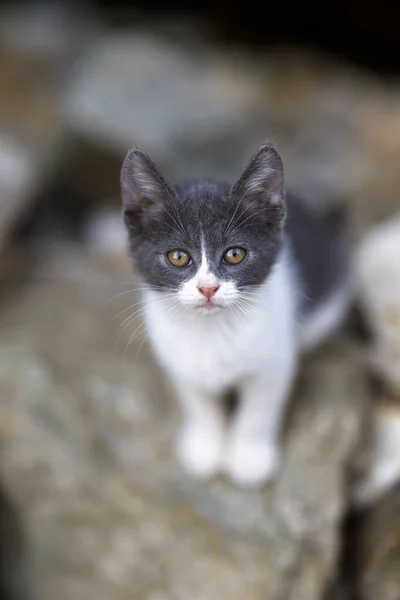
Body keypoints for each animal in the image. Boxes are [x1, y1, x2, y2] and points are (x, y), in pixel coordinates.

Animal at [119, 145, 350, 488]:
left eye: (234, 254)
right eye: (178, 257)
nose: (207, 288)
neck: (212, 329)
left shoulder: (273, 362)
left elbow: (258, 410)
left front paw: (249, 459)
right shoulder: (177, 357)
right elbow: (198, 404)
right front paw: (205, 449)